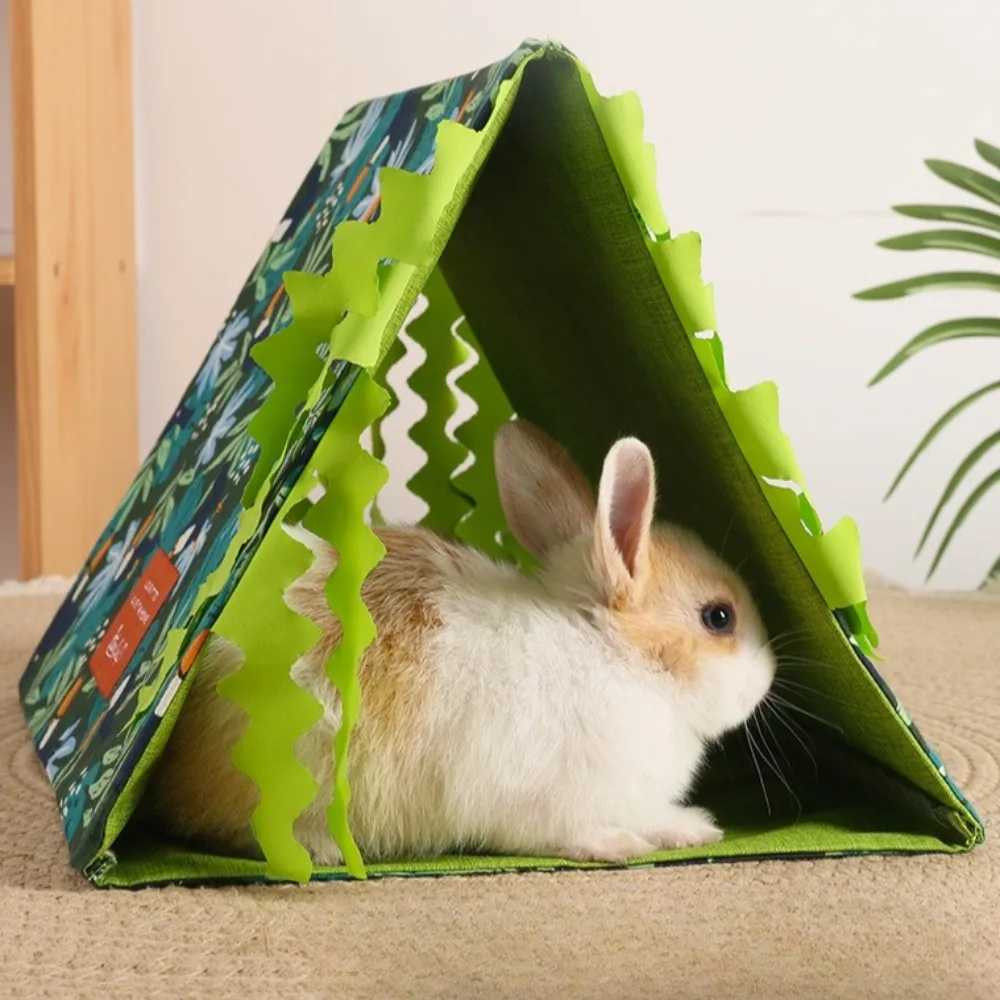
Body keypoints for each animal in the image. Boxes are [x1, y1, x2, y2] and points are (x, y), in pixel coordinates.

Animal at [147, 419, 777, 865]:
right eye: (718, 617)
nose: (768, 676)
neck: (612, 653)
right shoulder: (545, 797)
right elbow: (567, 832)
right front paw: (617, 847)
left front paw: (692, 828)